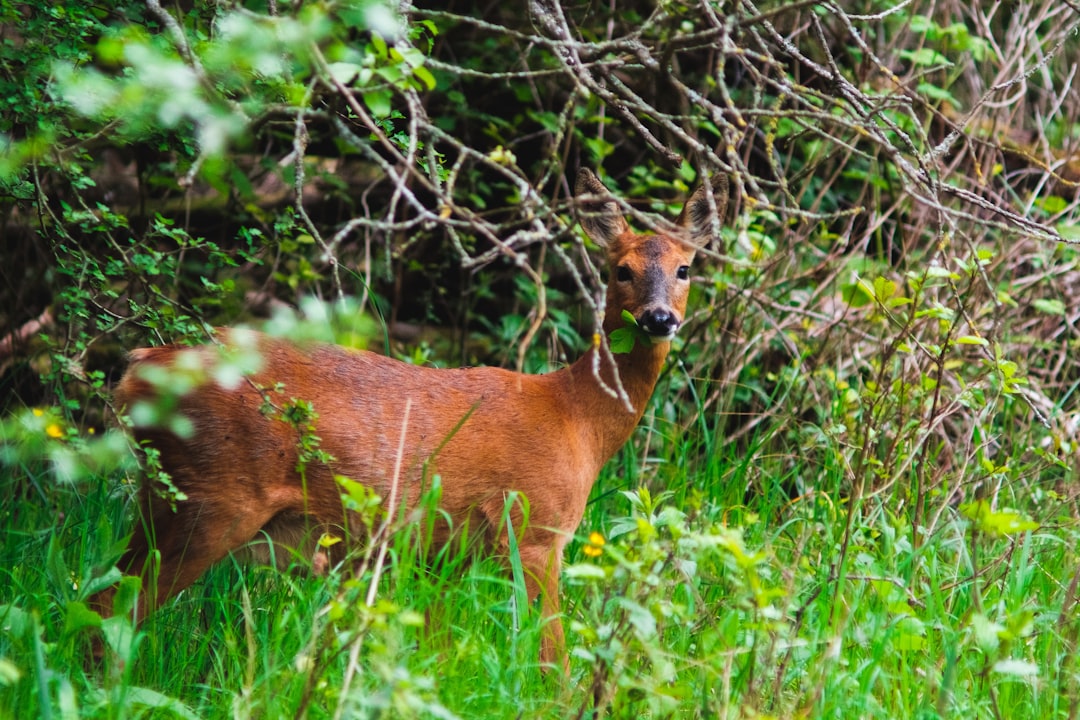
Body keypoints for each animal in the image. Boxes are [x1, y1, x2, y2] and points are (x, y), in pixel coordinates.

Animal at [97, 169, 730, 669]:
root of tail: (139, 367)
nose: (659, 318)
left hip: (167, 499)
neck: (576, 418)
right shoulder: (536, 529)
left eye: (686, 268)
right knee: (112, 609)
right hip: (212, 497)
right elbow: (554, 656)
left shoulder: (448, 551)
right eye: (621, 269)